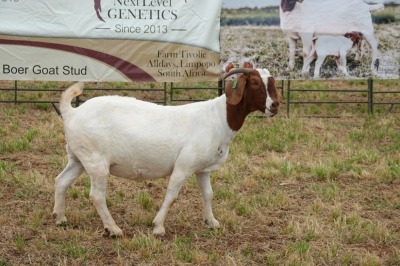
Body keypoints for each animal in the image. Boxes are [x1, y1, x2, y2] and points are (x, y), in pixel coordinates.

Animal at [53, 68, 282, 237]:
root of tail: (71, 113)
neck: (218, 118)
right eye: (254, 83)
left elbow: (208, 194)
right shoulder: (184, 165)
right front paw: (158, 227)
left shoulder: (203, 169)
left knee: (61, 181)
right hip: (96, 160)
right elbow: (172, 195)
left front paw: (212, 222)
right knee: (97, 196)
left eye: (271, 81)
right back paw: (114, 229)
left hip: (78, 157)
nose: (275, 105)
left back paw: (60, 218)